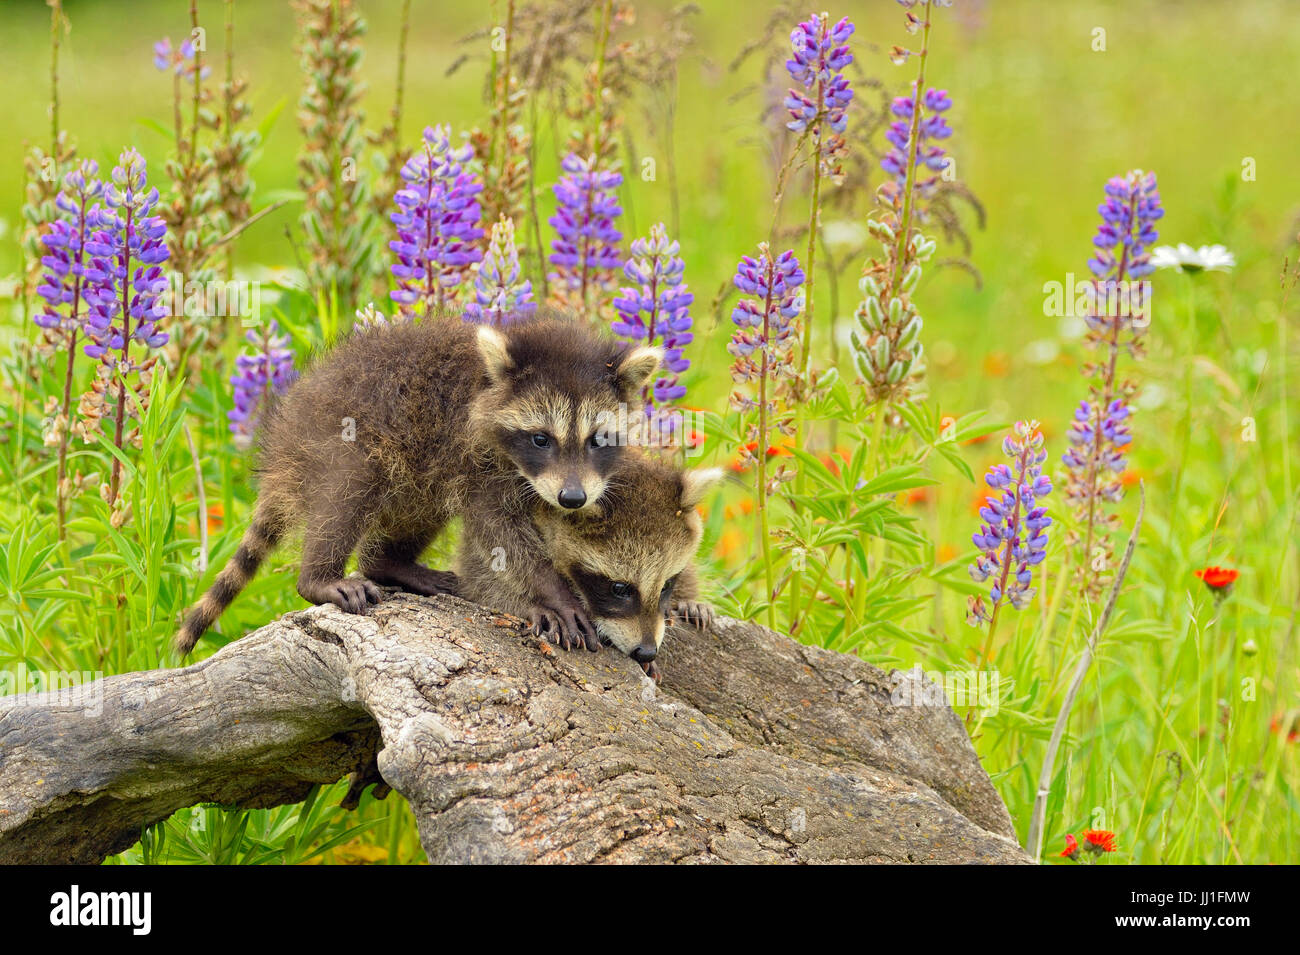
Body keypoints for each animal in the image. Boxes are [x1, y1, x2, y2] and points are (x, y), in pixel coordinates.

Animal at [172, 314, 660, 657]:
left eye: (598, 439)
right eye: (541, 439)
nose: (572, 498)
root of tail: (281, 447)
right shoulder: (480, 464)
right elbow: (502, 536)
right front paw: (554, 593)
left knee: (419, 506)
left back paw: (388, 562)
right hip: (335, 444)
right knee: (348, 493)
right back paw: (319, 577)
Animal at [457, 454, 728, 686]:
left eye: (666, 585)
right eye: (619, 588)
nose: (647, 652)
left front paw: (688, 600)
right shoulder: (500, 528)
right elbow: (484, 581)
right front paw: (527, 603)